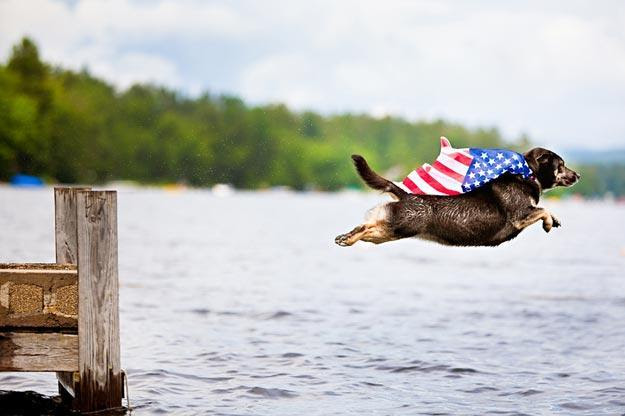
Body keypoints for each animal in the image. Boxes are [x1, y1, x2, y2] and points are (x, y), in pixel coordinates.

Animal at [336, 147, 580, 247]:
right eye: (561, 165)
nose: (578, 175)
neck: (527, 174)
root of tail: (404, 194)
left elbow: (545, 210)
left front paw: (555, 220)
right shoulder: (520, 216)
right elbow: (543, 210)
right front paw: (548, 222)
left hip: (386, 232)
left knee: (364, 226)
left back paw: (345, 237)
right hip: (399, 227)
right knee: (367, 228)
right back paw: (347, 239)